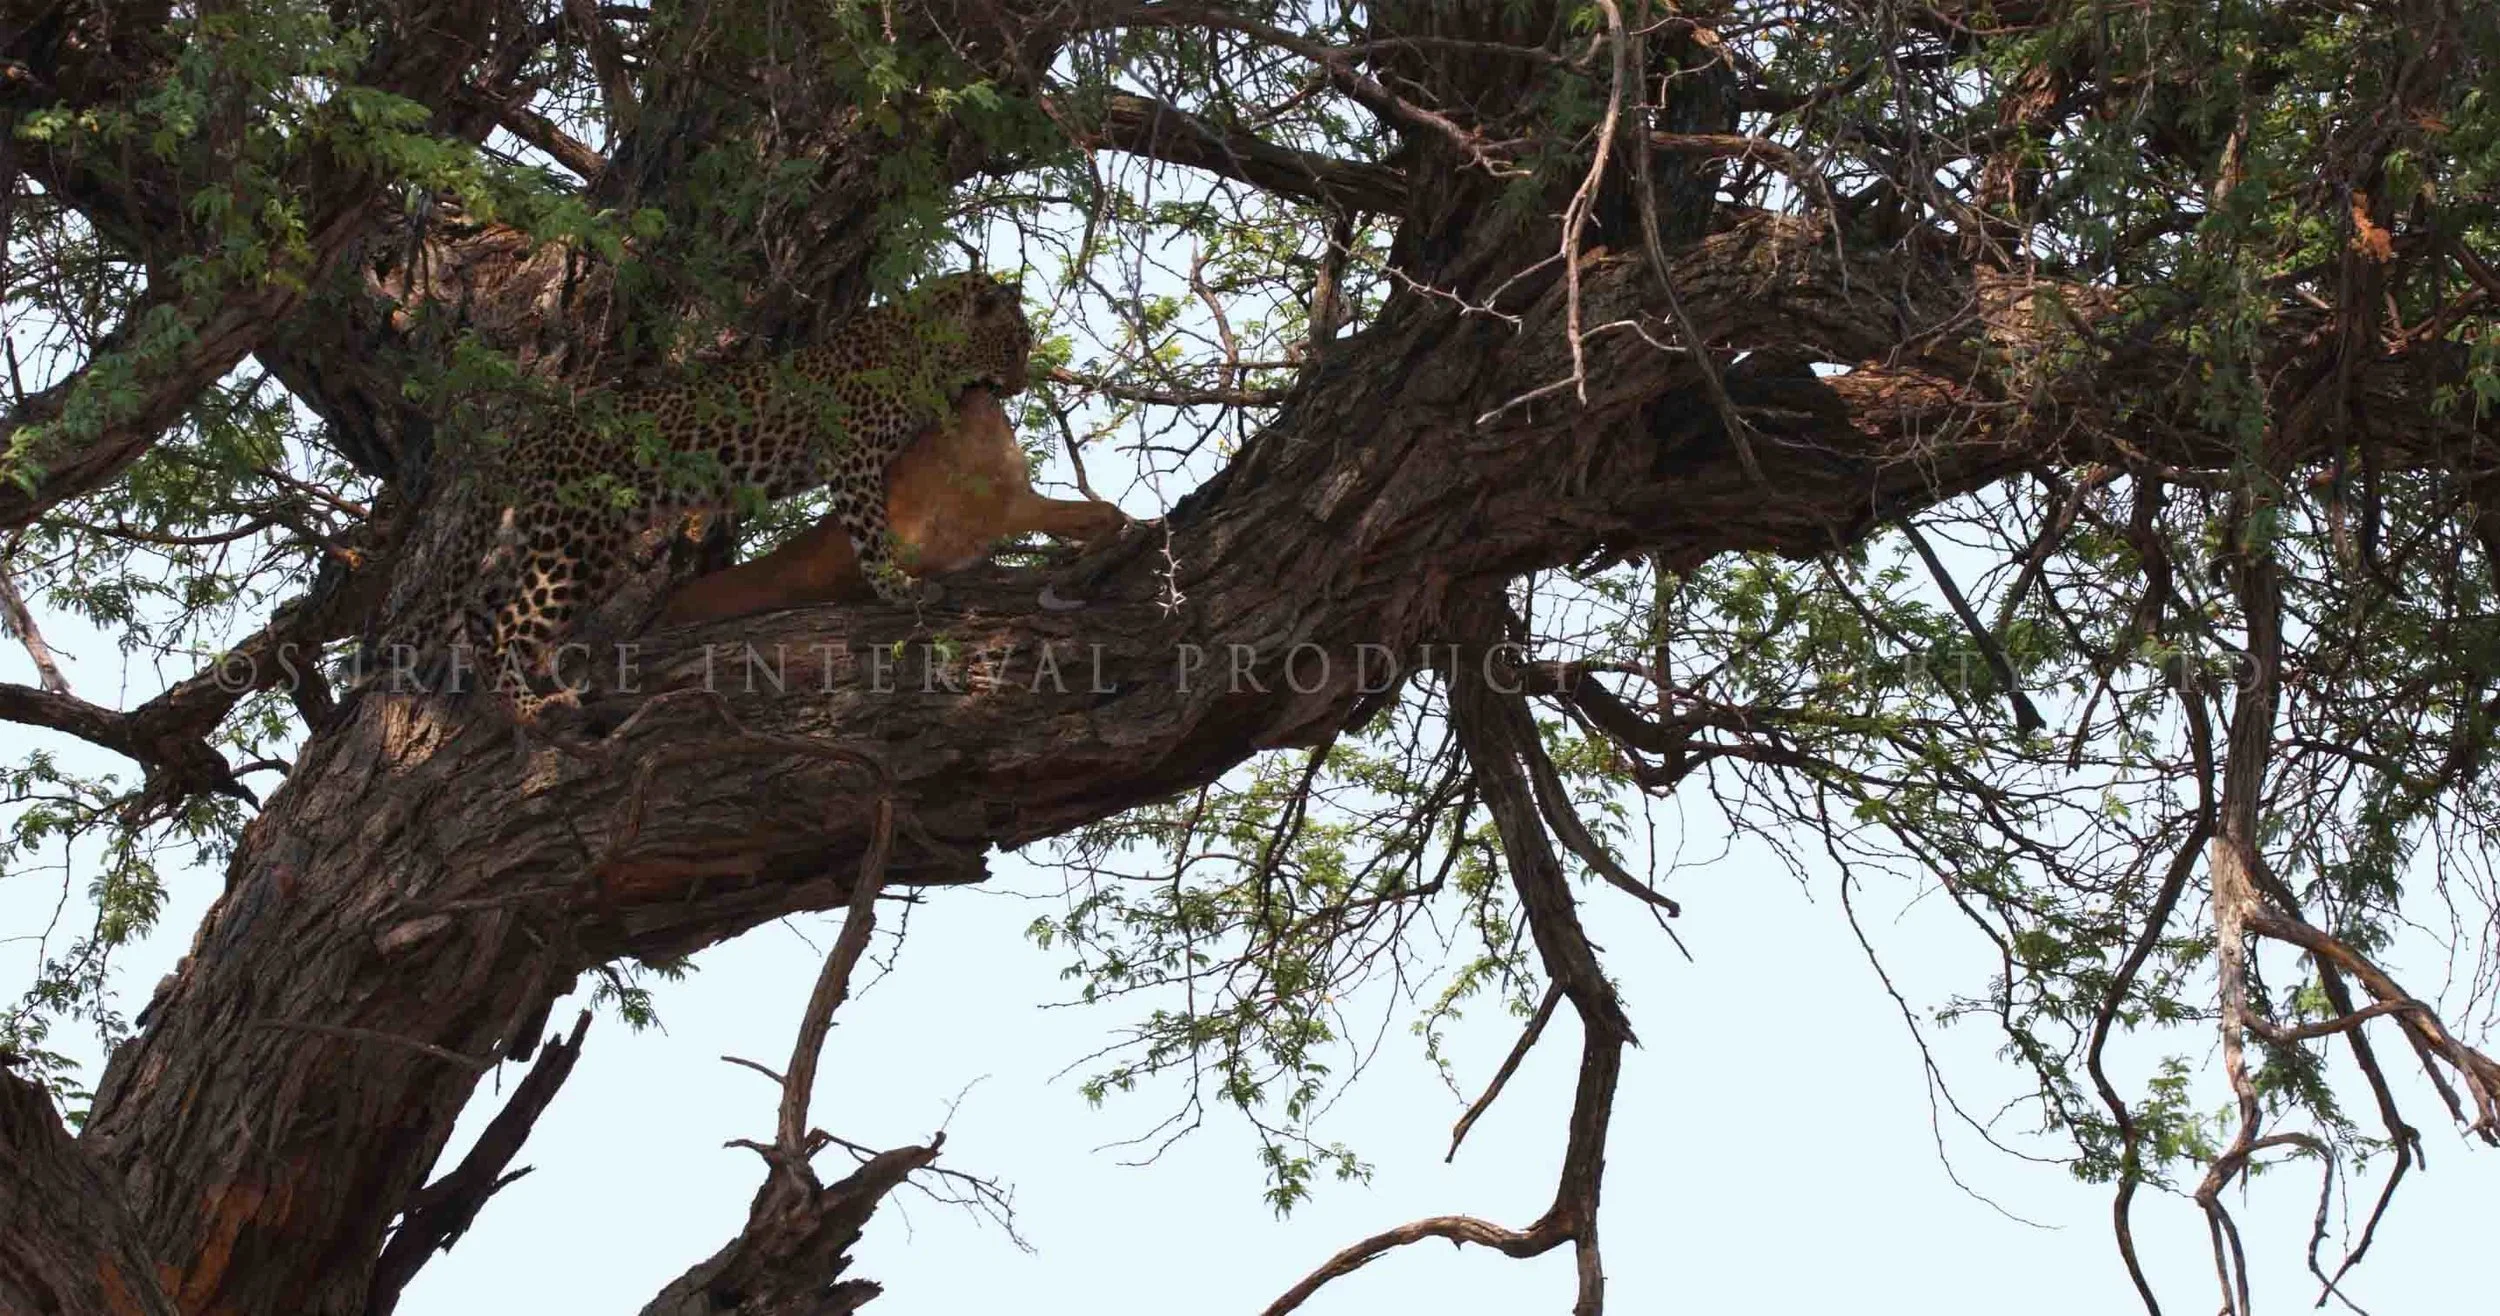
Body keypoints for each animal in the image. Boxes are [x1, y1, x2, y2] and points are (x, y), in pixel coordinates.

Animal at [368, 270, 1033, 714]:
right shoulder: (854, 458)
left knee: (481, 606)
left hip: (546, 534)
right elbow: (870, 531)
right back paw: (531, 709)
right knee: (506, 622)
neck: (926, 347)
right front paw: (897, 589)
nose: (1022, 387)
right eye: (1015, 345)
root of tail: (535, 436)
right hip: (575, 544)